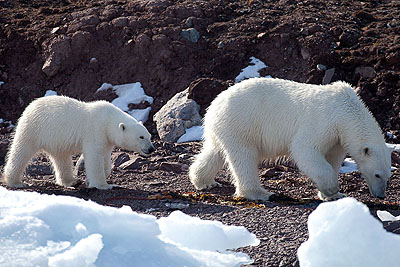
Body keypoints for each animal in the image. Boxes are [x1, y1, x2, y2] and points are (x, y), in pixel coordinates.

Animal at [1, 95, 155, 189]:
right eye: (141, 137)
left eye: (149, 136)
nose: (151, 149)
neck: (108, 120)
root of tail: (31, 105)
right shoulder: (95, 130)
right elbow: (94, 157)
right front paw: (104, 185)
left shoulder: (106, 139)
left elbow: (105, 157)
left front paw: (93, 178)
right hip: (33, 127)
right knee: (21, 151)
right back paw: (15, 182)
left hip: (56, 140)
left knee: (61, 158)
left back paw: (72, 181)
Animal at [189, 78, 392, 202]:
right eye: (377, 175)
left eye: (388, 175)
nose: (381, 196)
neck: (345, 110)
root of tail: (215, 104)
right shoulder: (323, 121)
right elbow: (304, 148)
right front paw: (332, 189)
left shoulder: (337, 137)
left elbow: (332, 158)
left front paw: (332, 195)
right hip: (242, 123)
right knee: (244, 156)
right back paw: (258, 193)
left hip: (225, 128)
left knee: (215, 151)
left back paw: (203, 180)